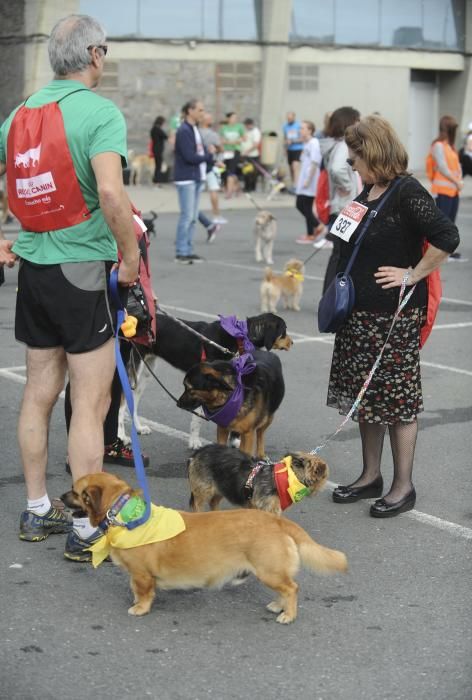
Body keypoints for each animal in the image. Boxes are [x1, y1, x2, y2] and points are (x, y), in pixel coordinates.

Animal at [61, 470, 346, 624]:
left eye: (75, 491)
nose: (61, 497)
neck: (123, 512)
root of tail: (276, 520)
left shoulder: (141, 574)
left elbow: (143, 593)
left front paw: (139, 608)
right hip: (271, 572)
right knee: (286, 589)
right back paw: (279, 606)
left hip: (269, 571)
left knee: (292, 588)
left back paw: (288, 614)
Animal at [118, 312, 292, 448]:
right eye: (284, 331)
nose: (292, 342)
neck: (240, 337)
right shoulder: (203, 382)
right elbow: (197, 418)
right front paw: (194, 442)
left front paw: (235, 439)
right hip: (133, 369)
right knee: (121, 406)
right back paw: (122, 436)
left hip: (145, 373)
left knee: (133, 401)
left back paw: (138, 428)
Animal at [187, 446, 328, 516]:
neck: (289, 476)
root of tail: (198, 452)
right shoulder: (268, 509)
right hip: (203, 490)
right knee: (197, 506)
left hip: (222, 487)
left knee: (213, 502)